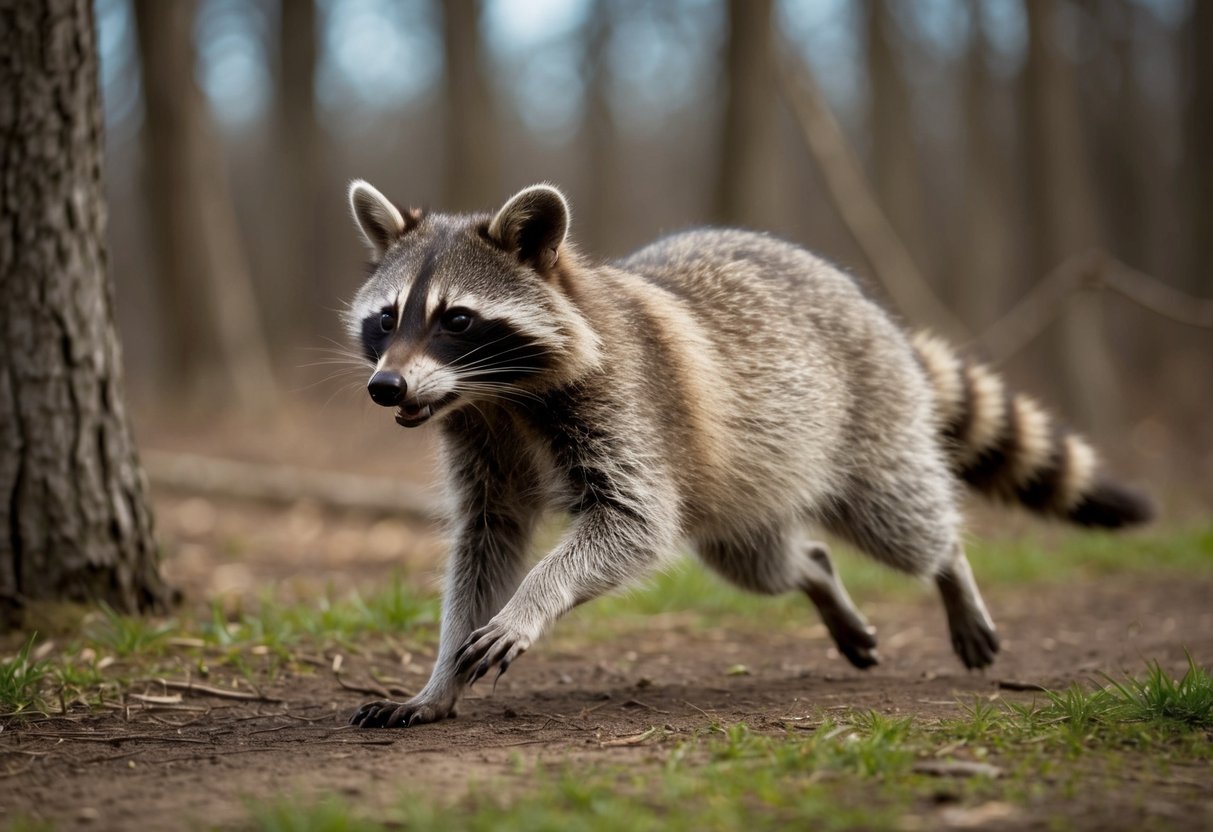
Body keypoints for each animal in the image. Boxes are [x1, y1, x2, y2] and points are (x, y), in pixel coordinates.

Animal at [342, 181, 1153, 729]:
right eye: (387, 318)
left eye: (456, 319)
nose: (385, 388)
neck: (496, 394)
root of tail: (873, 309)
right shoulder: (484, 445)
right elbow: (485, 545)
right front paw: (438, 681)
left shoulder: (627, 403)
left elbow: (631, 524)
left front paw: (533, 601)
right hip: (741, 494)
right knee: (767, 563)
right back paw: (820, 579)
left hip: (868, 423)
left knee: (901, 522)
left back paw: (950, 569)